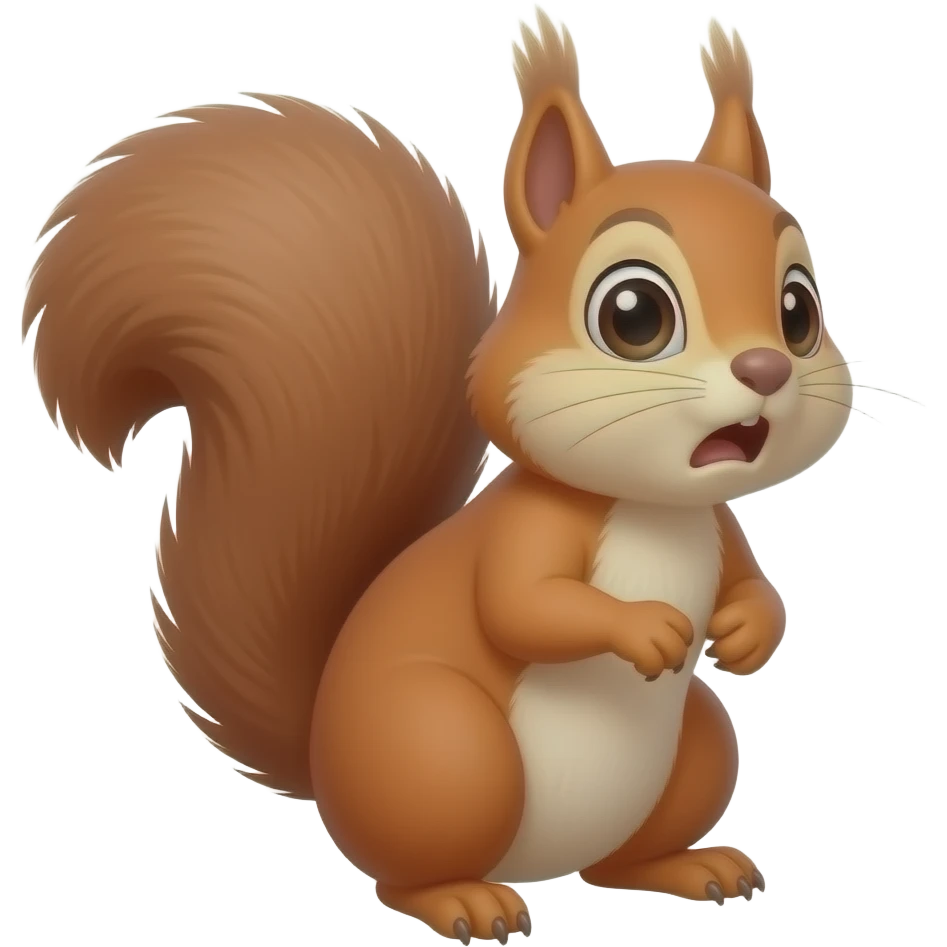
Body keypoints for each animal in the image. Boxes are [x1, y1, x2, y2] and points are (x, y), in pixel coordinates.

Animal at [23, 10, 859, 946]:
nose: (765, 369)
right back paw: (463, 901)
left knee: (618, 862)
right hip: (445, 749)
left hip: (696, 747)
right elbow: (523, 605)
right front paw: (645, 627)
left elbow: (751, 584)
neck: (651, 508)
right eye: (633, 314)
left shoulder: (718, 524)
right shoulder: (528, 527)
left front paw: (747, 632)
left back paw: (687, 865)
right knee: (404, 875)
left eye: (797, 310)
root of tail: (324, 762)